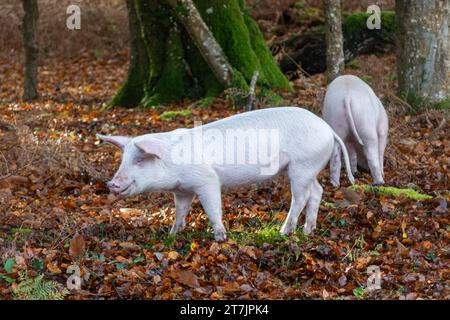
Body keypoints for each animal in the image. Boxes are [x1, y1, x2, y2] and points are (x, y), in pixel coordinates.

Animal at [97, 106, 356, 241]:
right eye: (123, 160)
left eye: (140, 160)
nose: (111, 184)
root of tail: (328, 129)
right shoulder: (182, 190)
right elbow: (180, 211)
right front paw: (172, 234)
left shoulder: (207, 180)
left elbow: (213, 208)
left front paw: (220, 237)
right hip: (307, 168)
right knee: (317, 191)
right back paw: (308, 231)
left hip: (302, 166)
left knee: (301, 197)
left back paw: (284, 231)